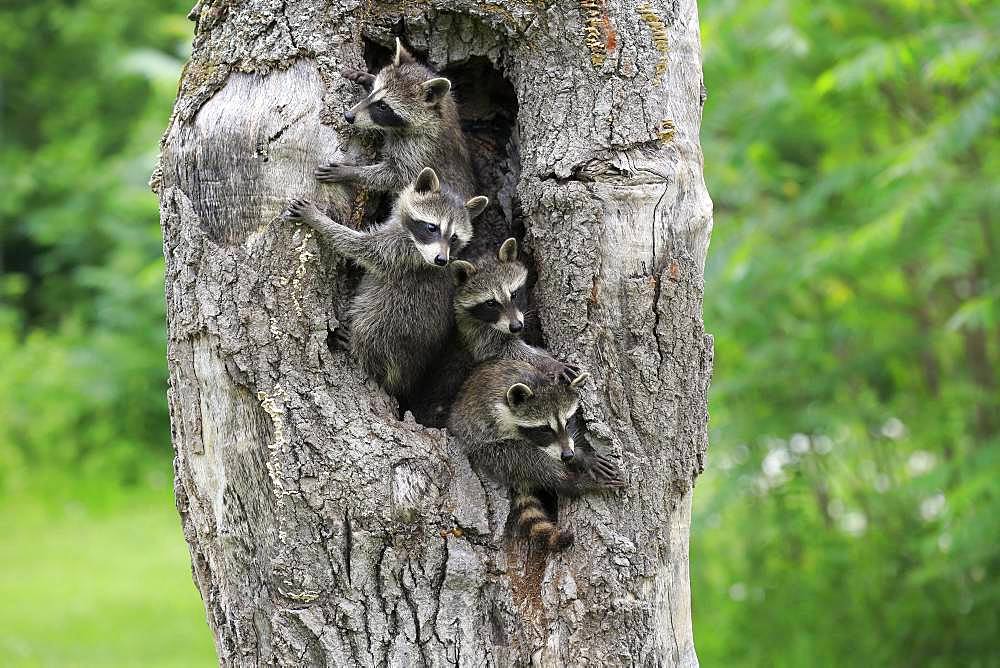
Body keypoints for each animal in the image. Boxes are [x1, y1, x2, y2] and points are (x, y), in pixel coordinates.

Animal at [286, 167, 488, 400]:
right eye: (432, 228)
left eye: (454, 237)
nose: (441, 260)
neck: (412, 239)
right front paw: (351, 173)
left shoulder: (398, 252)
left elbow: (358, 245)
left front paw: (319, 220)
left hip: (394, 321)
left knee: (370, 328)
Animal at [318, 38, 478, 200]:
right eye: (373, 92)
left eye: (383, 106)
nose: (348, 116)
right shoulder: (448, 102)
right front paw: (367, 77)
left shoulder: (421, 147)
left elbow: (400, 176)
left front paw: (351, 172)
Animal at [452, 360, 624, 552]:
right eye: (544, 429)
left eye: (568, 422)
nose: (568, 455)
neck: (536, 383)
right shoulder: (486, 426)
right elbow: (520, 455)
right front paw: (578, 462)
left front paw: (581, 455)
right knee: (522, 457)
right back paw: (572, 482)